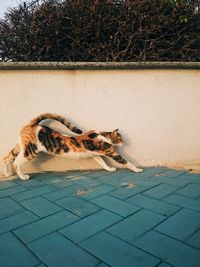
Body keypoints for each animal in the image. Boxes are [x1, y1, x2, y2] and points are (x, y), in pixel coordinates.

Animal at [3, 113, 143, 180]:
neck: (103, 135)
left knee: (6, 158)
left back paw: (7, 174)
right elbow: (126, 161)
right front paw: (137, 169)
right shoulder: (111, 152)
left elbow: (103, 163)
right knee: (15, 163)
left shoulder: (95, 155)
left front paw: (109, 169)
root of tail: (34, 124)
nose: (123, 142)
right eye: (120, 138)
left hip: (20, 147)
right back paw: (22, 176)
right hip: (30, 151)